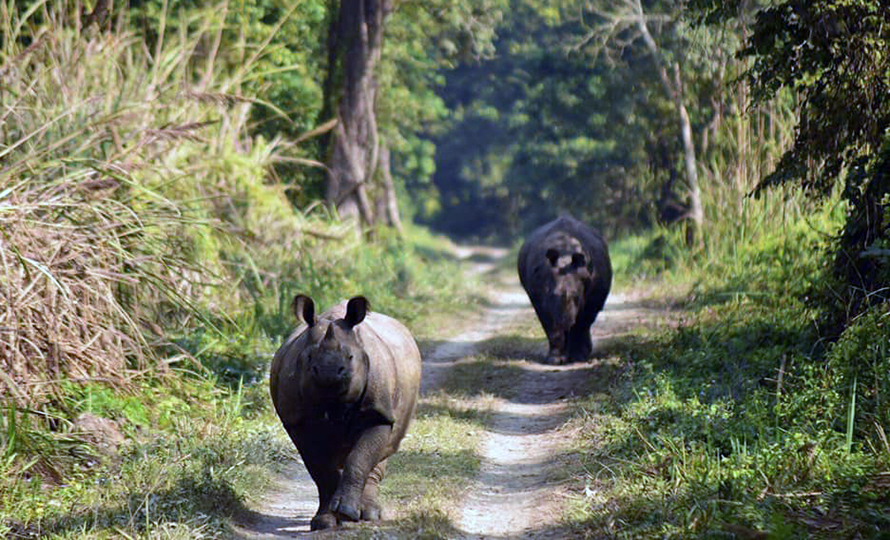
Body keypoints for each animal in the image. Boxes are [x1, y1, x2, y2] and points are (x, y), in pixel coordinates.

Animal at [268, 294, 422, 528]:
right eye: (309, 358)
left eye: (350, 357)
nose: (328, 374)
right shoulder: (297, 421)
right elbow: (320, 469)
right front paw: (325, 521)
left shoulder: (378, 412)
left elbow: (360, 459)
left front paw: (347, 513)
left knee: (381, 450)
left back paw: (369, 514)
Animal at [512, 215, 612, 362]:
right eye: (551, 294)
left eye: (577, 297)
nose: (565, 322)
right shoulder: (540, 297)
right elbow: (549, 324)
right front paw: (554, 360)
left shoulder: (590, 295)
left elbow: (582, 322)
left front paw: (578, 357)